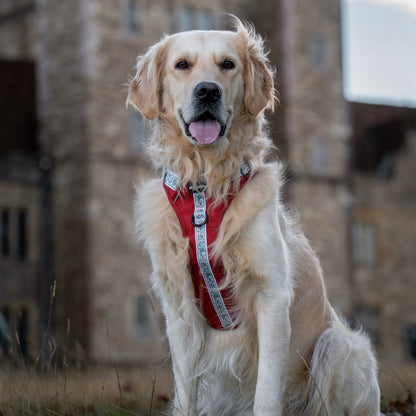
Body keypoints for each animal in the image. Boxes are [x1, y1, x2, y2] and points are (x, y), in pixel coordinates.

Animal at [128, 17, 382, 416]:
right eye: (182, 65)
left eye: (227, 64)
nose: (207, 91)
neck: (205, 188)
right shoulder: (179, 304)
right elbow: (185, 390)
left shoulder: (272, 295)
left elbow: (266, 390)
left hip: (336, 344)